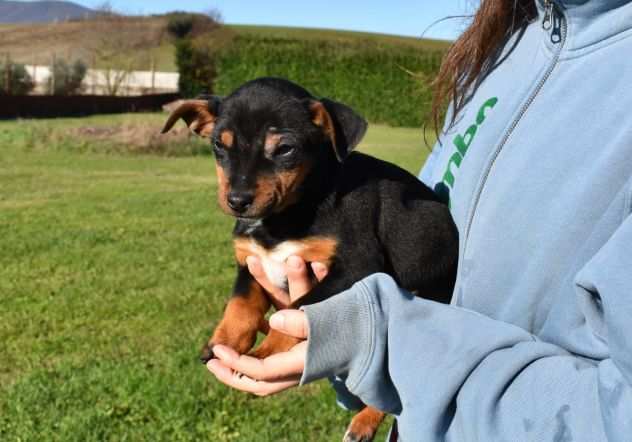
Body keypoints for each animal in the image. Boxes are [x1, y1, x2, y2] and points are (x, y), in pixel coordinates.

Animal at [162, 77, 460, 440]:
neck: (284, 217)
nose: (237, 200)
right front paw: (222, 341)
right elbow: (240, 305)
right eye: (219, 144)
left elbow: (295, 308)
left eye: (285, 149)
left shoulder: (356, 265)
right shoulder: (249, 263)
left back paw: (363, 423)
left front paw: (266, 350)